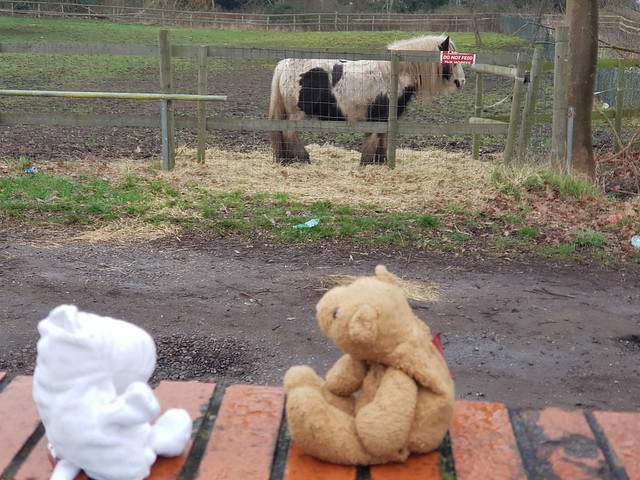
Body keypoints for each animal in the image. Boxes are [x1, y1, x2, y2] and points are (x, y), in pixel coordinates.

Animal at [268, 35, 466, 166]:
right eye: (452, 60)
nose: (461, 81)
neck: (393, 74)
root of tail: (284, 64)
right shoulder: (376, 118)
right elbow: (373, 140)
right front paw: (367, 162)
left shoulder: (385, 119)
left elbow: (383, 141)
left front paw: (380, 162)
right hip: (297, 113)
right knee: (290, 133)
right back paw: (302, 158)